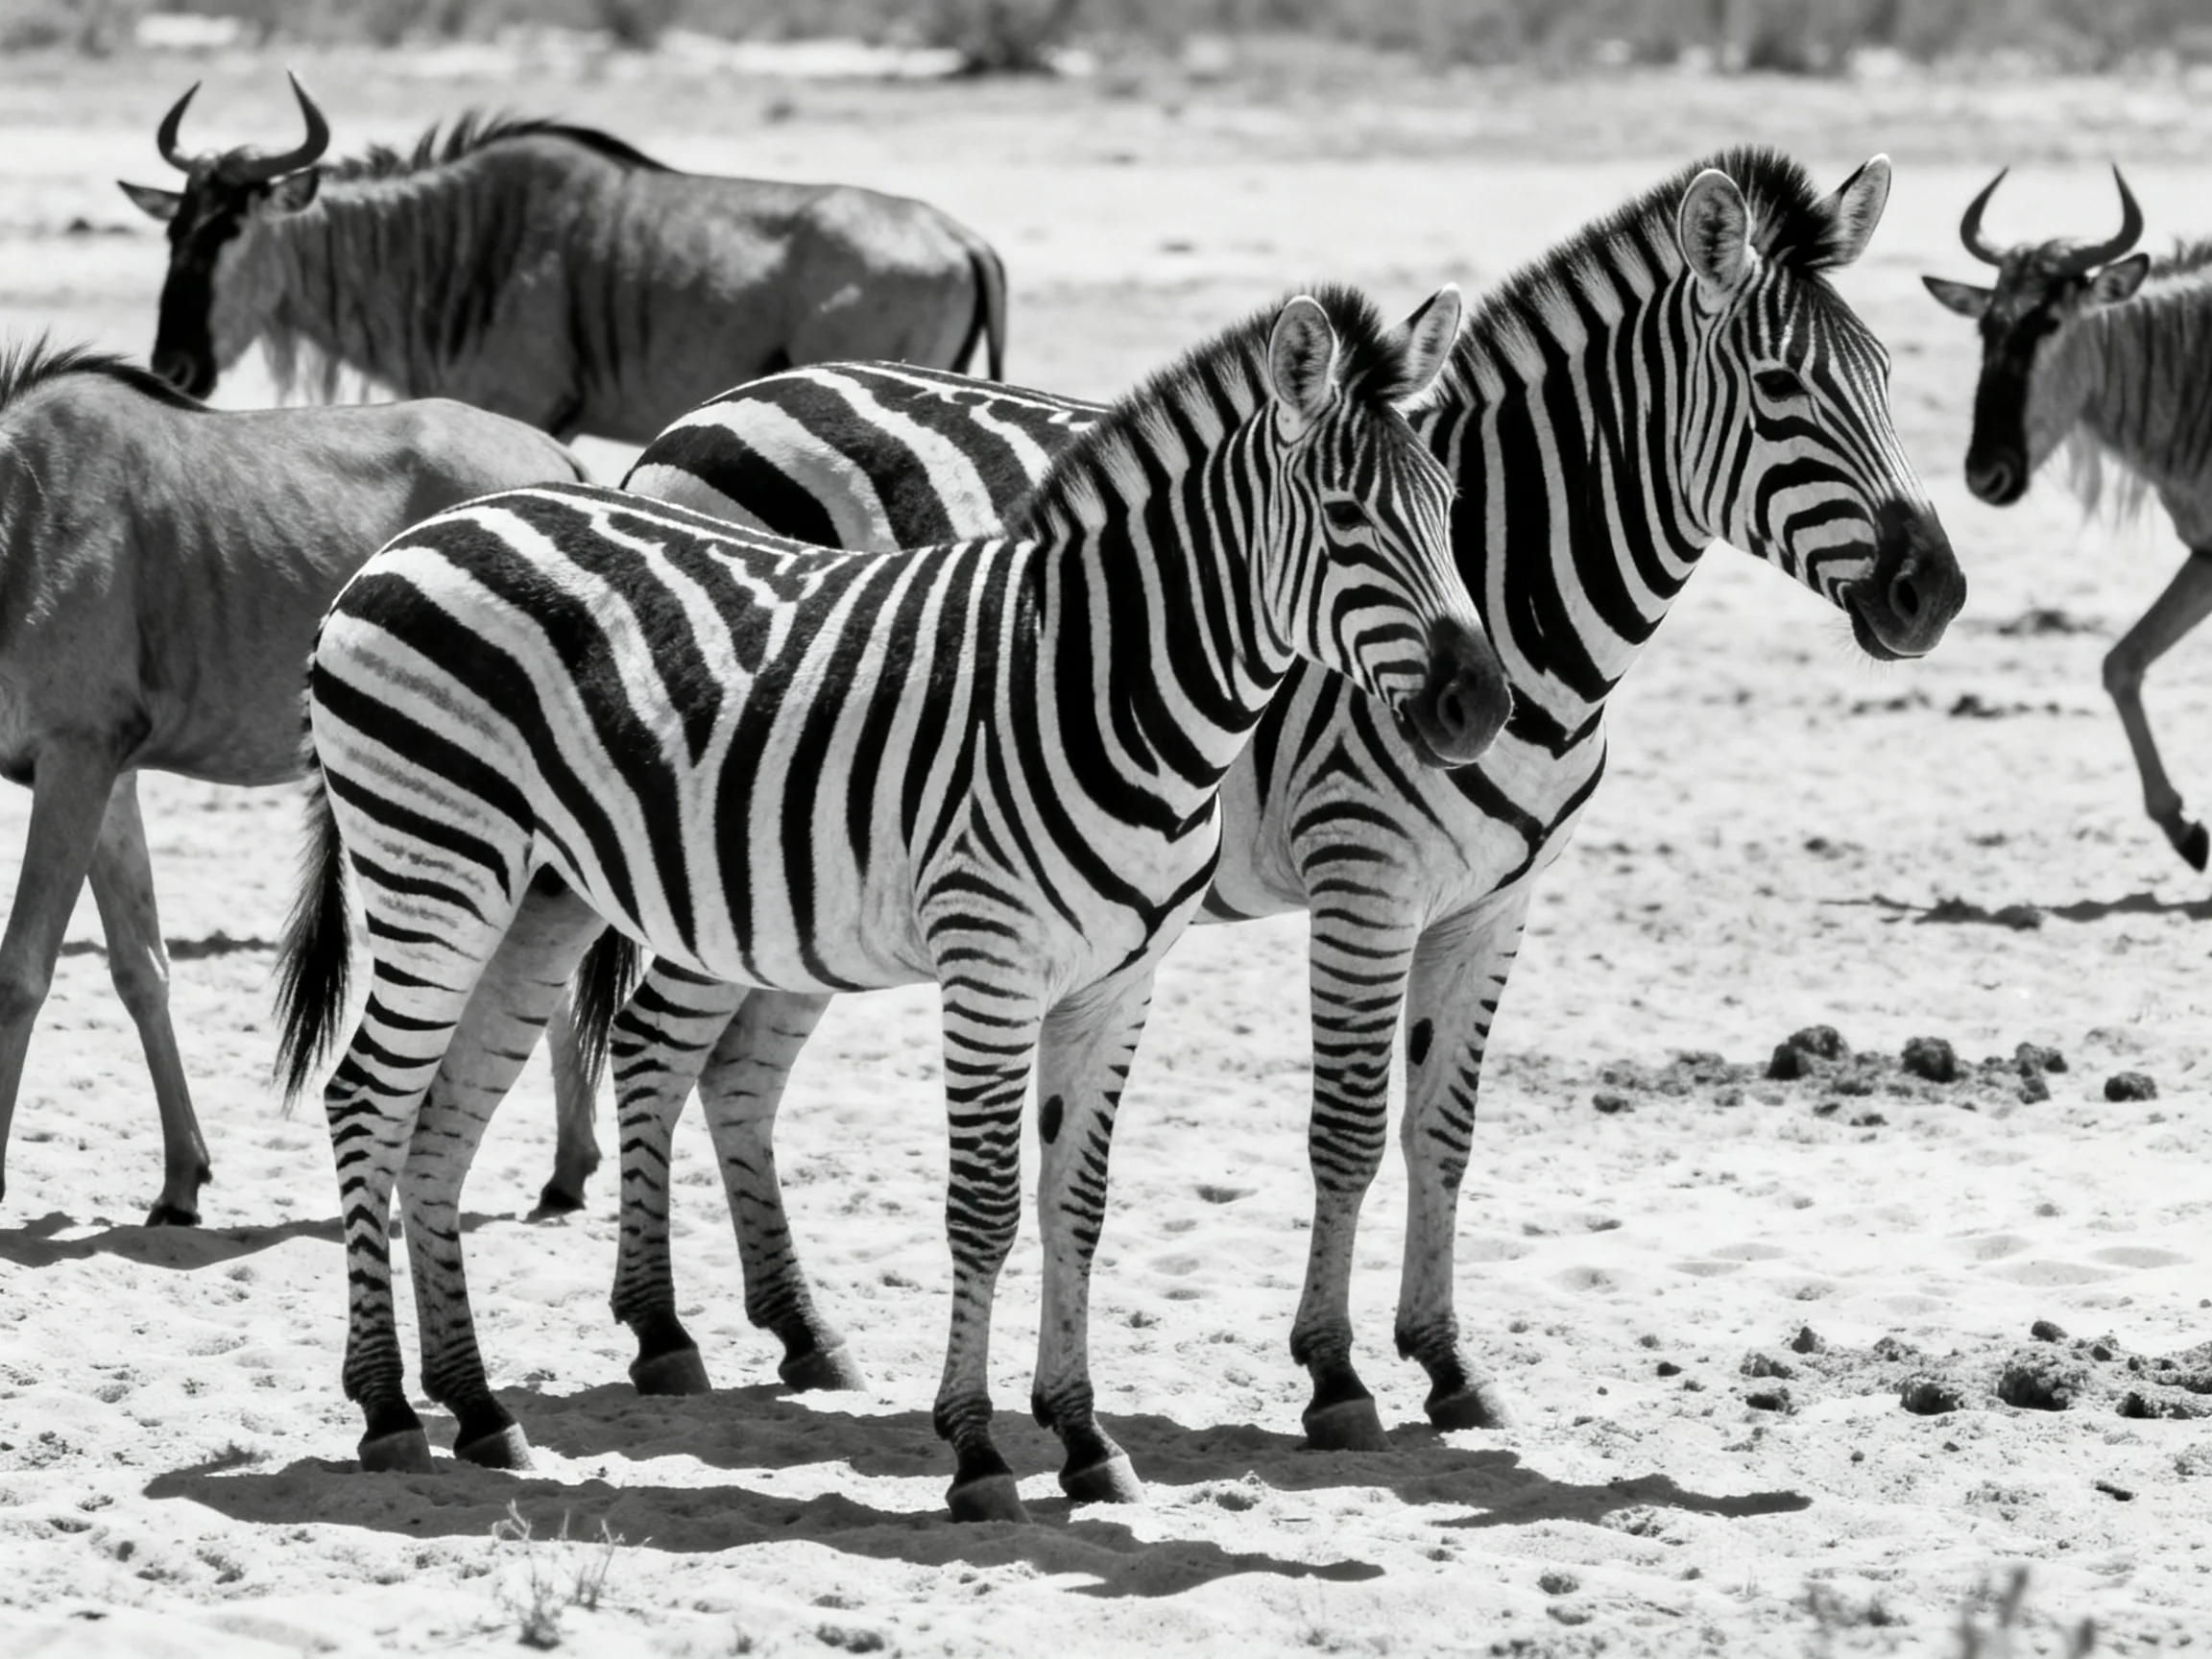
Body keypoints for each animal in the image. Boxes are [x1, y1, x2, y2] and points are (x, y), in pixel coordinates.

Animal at [0, 339, 591, 1226]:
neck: (19, 509)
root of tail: (558, 460)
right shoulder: (107, 779)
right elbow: (141, 969)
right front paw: (182, 1180)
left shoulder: (75, 760)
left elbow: (23, 972)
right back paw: (566, 1168)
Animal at [117, 75, 1008, 442]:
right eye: (175, 230)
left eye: (231, 229)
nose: (175, 367)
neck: (447, 244)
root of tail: (962, 236)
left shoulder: (527, 410)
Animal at [272, 284, 1509, 1523]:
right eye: (1346, 518)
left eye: (1455, 508)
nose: (1481, 707)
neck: (1104, 688)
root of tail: (419, 535)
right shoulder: (990, 963)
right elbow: (986, 1206)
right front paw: (978, 1450)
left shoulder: (1119, 982)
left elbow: (1079, 1203)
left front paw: (1084, 1435)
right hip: (435, 865)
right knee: (366, 1101)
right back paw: (388, 1409)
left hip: (533, 894)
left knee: (441, 1121)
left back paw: (479, 1409)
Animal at [589, 146, 1969, 1452]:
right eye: (1784, 392)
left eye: (1888, 376)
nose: (1936, 595)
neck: (1514, 596)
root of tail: (700, 419)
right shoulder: (1365, 876)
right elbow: (1350, 1128)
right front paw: (1337, 1375)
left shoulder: (1496, 901)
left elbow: (1445, 1127)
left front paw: (1449, 1364)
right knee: (658, 1043)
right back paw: (664, 1332)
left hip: (809, 876)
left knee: (739, 1072)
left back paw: (802, 1332)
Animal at [1922, 168, 2212, 870]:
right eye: (1987, 329)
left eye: (2050, 323)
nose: (1986, 474)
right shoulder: (2206, 555)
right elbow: (2121, 664)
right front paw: (2185, 828)